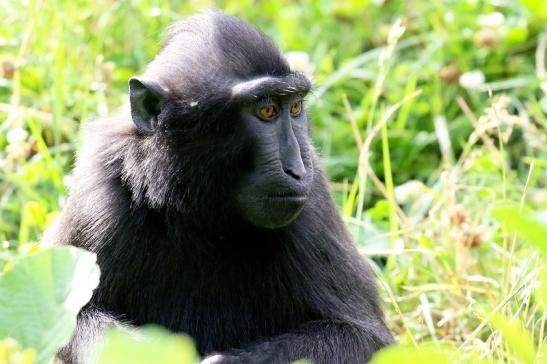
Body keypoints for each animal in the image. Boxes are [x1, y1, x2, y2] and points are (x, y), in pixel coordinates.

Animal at [44, 9, 394, 362]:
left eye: (294, 107)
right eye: (266, 110)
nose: (297, 169)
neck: (199, 213)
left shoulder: (313, 202)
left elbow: (364, 337)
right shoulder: (100, 195)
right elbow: (66, 316)